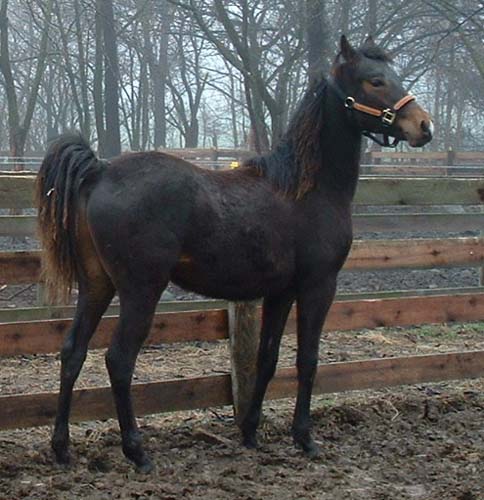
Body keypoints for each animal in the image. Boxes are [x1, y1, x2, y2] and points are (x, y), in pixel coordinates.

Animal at [35, 35, 432, 472]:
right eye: (375, 81)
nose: (424, 126)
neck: (306, 189)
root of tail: (101, 170)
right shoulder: (318, 286)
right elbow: (307, 360)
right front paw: (304, 438)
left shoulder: (280, 292)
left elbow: (268, 358)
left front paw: (250, 432)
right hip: (141, 290)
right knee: (119, 360)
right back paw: (137, 452)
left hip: (96, 285)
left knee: (73, 352)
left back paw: (62, 448)